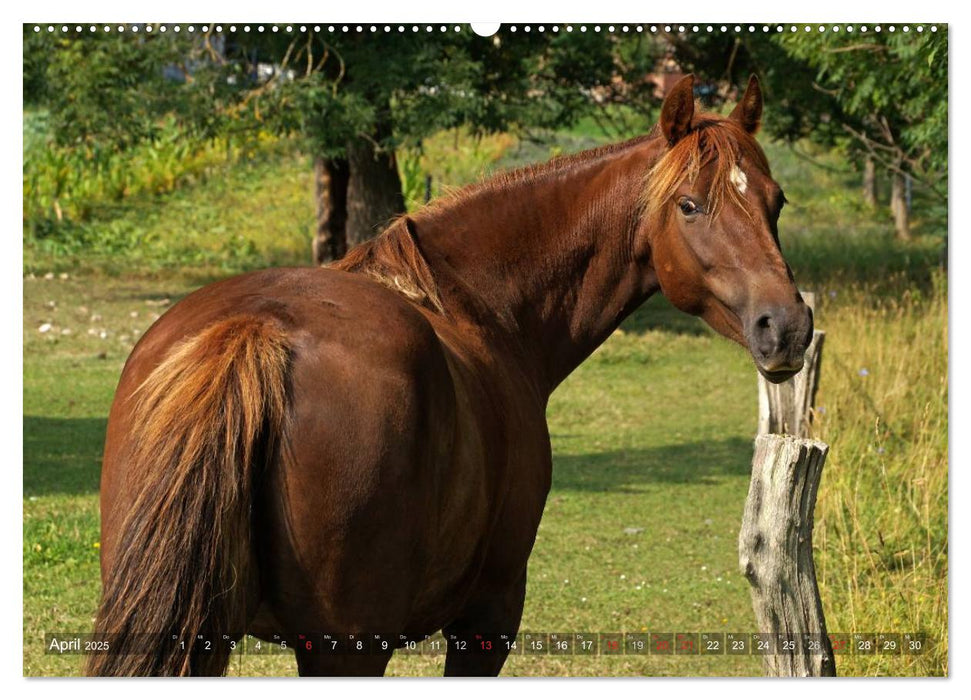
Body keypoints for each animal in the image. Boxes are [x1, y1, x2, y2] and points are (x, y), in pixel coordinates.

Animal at [87, 76, 812, 680]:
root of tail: (255, 332)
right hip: (346, 649)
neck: (481, 308)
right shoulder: (489, 614)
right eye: (689, 205)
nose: (786, 326)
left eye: (776, 202)